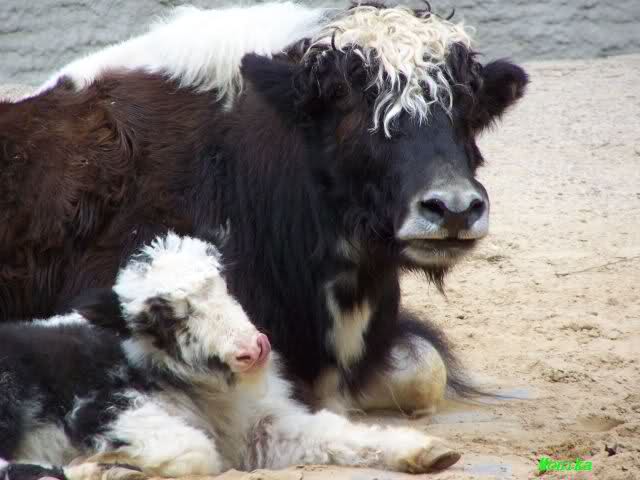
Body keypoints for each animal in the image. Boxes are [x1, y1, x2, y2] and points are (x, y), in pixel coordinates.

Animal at [0, 233, 461, 480]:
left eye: (223, 282)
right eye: (164, 318)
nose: (252, 350)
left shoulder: (262, 429)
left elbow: (336, 434)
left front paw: (428, 452)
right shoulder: (106, 410)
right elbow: (194, 451)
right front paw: (103, 466)